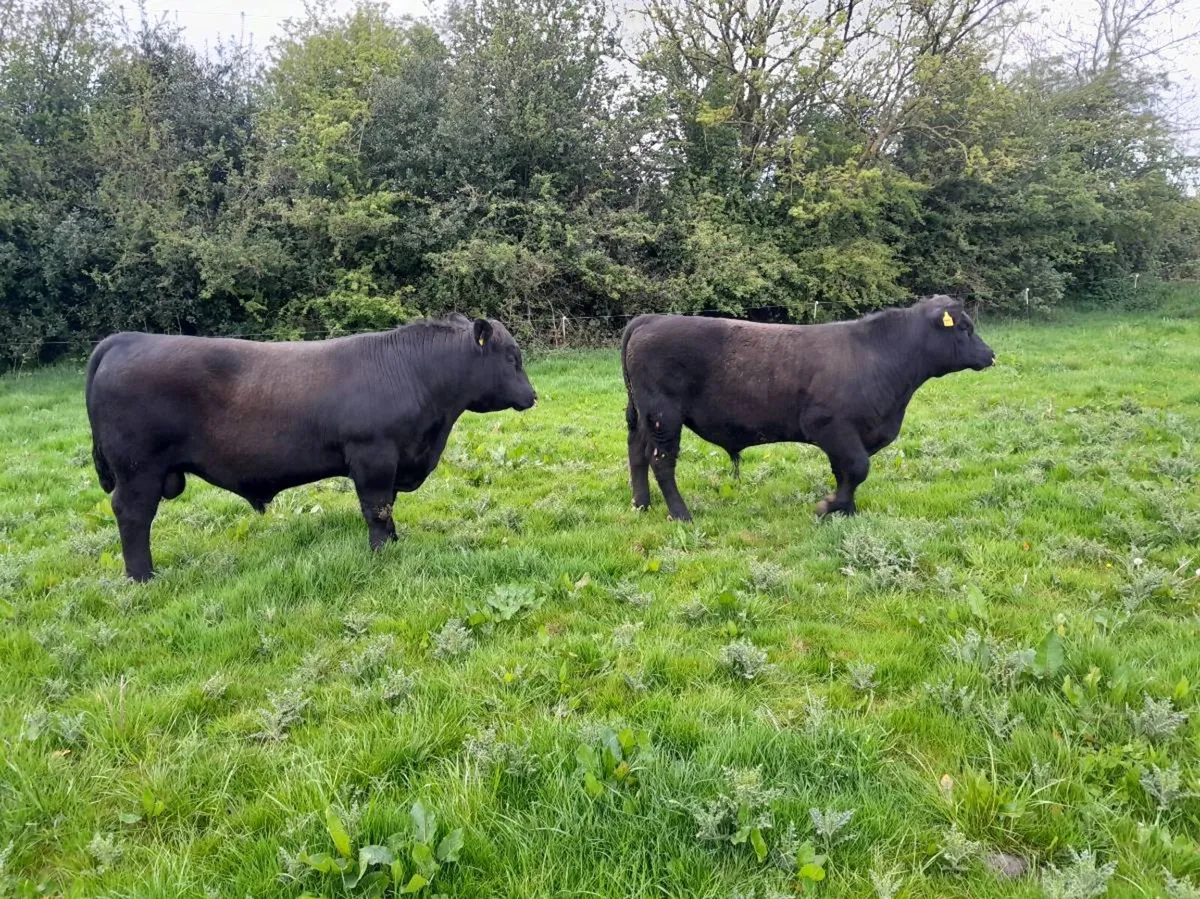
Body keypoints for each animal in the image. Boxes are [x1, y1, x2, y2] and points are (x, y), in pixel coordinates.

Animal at [85, 315, 536, 581]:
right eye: (511, 358)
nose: (532, 396)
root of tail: (125, 339)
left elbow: (388, 508)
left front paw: (394, 543)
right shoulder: (373, 456)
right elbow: (376, 508)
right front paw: (380, 552)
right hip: (138, 470)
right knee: (132, 515)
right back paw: (143, 576)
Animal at [621, 296, 995, 522]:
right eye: (965, 327)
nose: (991, 354)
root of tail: (650, 319)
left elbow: (845, 472)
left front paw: (846, 511)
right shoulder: (832, 427)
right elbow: (857, 468)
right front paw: (829, 506)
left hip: (644, 417)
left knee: (637, 453)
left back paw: (641, 504)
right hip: (664, 417)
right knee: (661, 462)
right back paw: (680, 513)